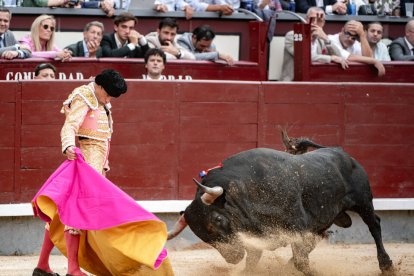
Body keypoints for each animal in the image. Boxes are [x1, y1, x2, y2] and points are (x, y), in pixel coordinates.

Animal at [167, 148, 392, 272]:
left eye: (217, 220)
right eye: (201, 235)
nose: (232, 258)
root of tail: (346, 155)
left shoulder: (297, 225)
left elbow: (302, 261)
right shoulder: (255, 238)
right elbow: (251, 264)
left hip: (363, 202)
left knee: (375, 225)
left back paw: (386, 264)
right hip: (324, 219)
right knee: (317, 239)